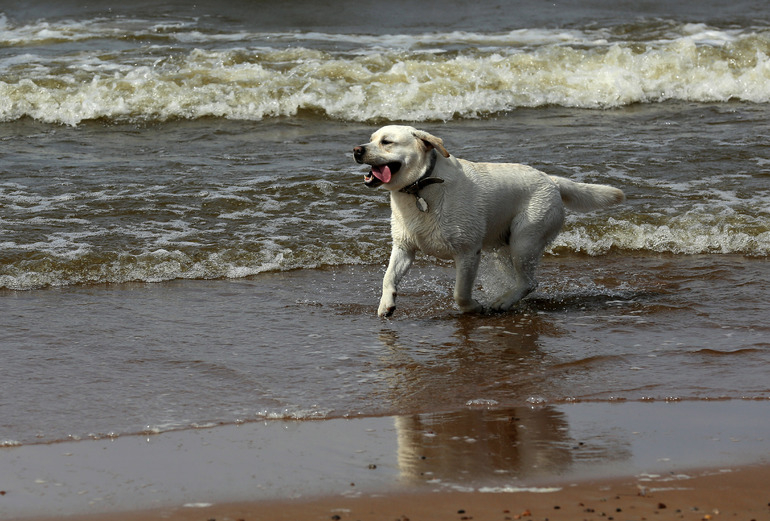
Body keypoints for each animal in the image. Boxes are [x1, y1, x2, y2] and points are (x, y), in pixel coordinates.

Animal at [354, 125, 624, 316]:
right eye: (371, 138)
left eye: (386, 142)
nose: (356, 150)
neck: (421, 187)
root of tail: (552, 180)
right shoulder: (404, 248)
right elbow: (388, 277)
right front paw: (386, 304)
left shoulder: (468, 252)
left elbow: (460, 293)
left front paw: (474, 308)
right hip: (504, 247)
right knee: (520, 280)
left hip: (525, 241)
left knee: (529, 282)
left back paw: (502, 302)